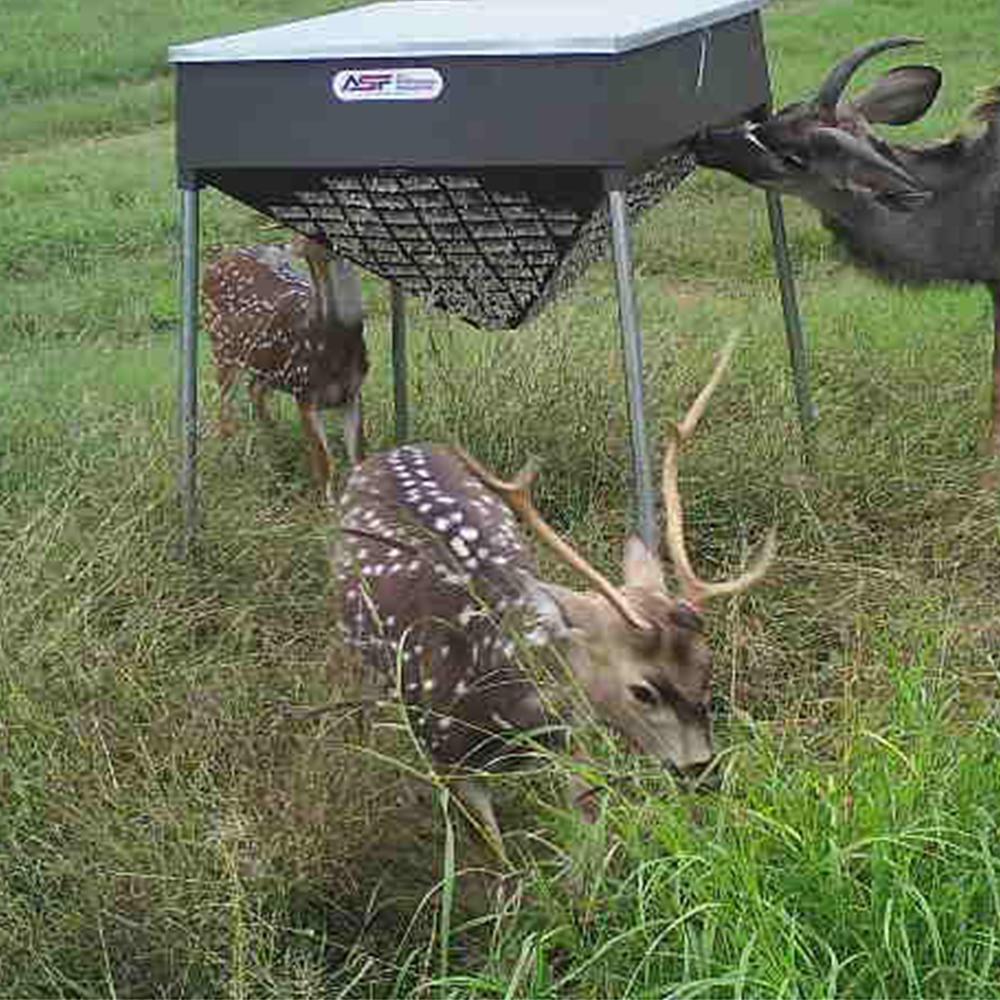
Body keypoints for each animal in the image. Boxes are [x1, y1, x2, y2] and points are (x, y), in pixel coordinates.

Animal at [201, 234, 370, 500]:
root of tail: (217, 260)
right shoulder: (304, 394)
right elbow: (325, 463)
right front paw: (329, 504)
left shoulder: (352, 393)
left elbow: (358, 457)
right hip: (223, 352)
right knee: (225, 414)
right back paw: (231, 461)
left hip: (264, 367)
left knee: (254, 390)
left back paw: (276, 444)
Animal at [336, 336, 772, 852]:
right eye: (642, 691)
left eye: (708, 667)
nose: (703, 773)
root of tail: (389, 451)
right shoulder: (443, 752)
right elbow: (497, 856)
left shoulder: (573, 732)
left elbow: (586, 842)